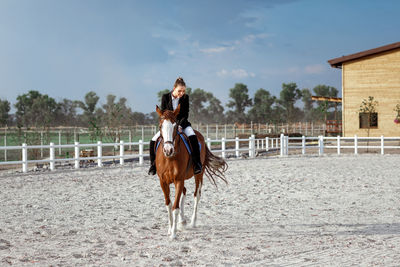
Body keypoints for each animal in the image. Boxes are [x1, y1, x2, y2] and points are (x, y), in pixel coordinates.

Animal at [154, 105, 227, 241]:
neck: (170, 158)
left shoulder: (178, 180)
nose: (168, 150)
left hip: (199, 175)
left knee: (196, 195)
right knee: (184, 192)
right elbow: (168, 205)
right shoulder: (163, 182)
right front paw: (170, 229)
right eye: (160, 126)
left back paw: (192, 222)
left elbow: (175, 207)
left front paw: (173, 233)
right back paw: (182, 221)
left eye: (175, 126)